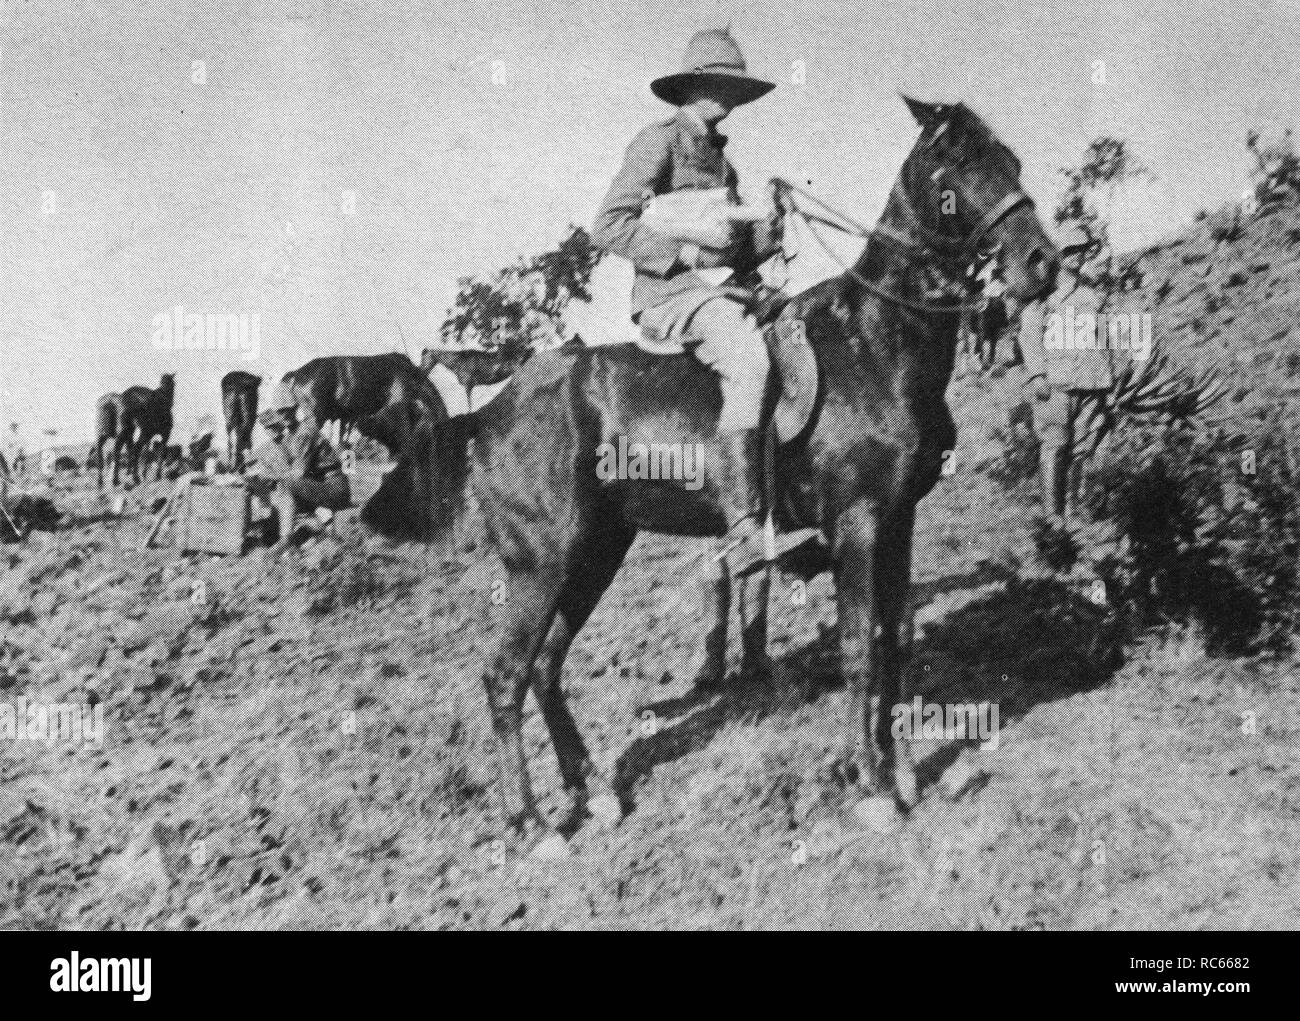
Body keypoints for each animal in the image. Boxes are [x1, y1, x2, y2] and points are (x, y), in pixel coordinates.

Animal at [364, 99, 1055, 842]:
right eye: (954, 167)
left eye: (1011, 160)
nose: (1042, 262)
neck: (874, 344)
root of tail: (489, 412)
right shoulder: (859, 523)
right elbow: (859, 649)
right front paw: (871, 785)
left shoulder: (899, 521)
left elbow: (894, 642)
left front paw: (895, 771)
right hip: (540, 563)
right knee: (505, 674)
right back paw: (531, 822)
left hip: (596, 550)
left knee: (545, 665)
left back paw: (590, 791)